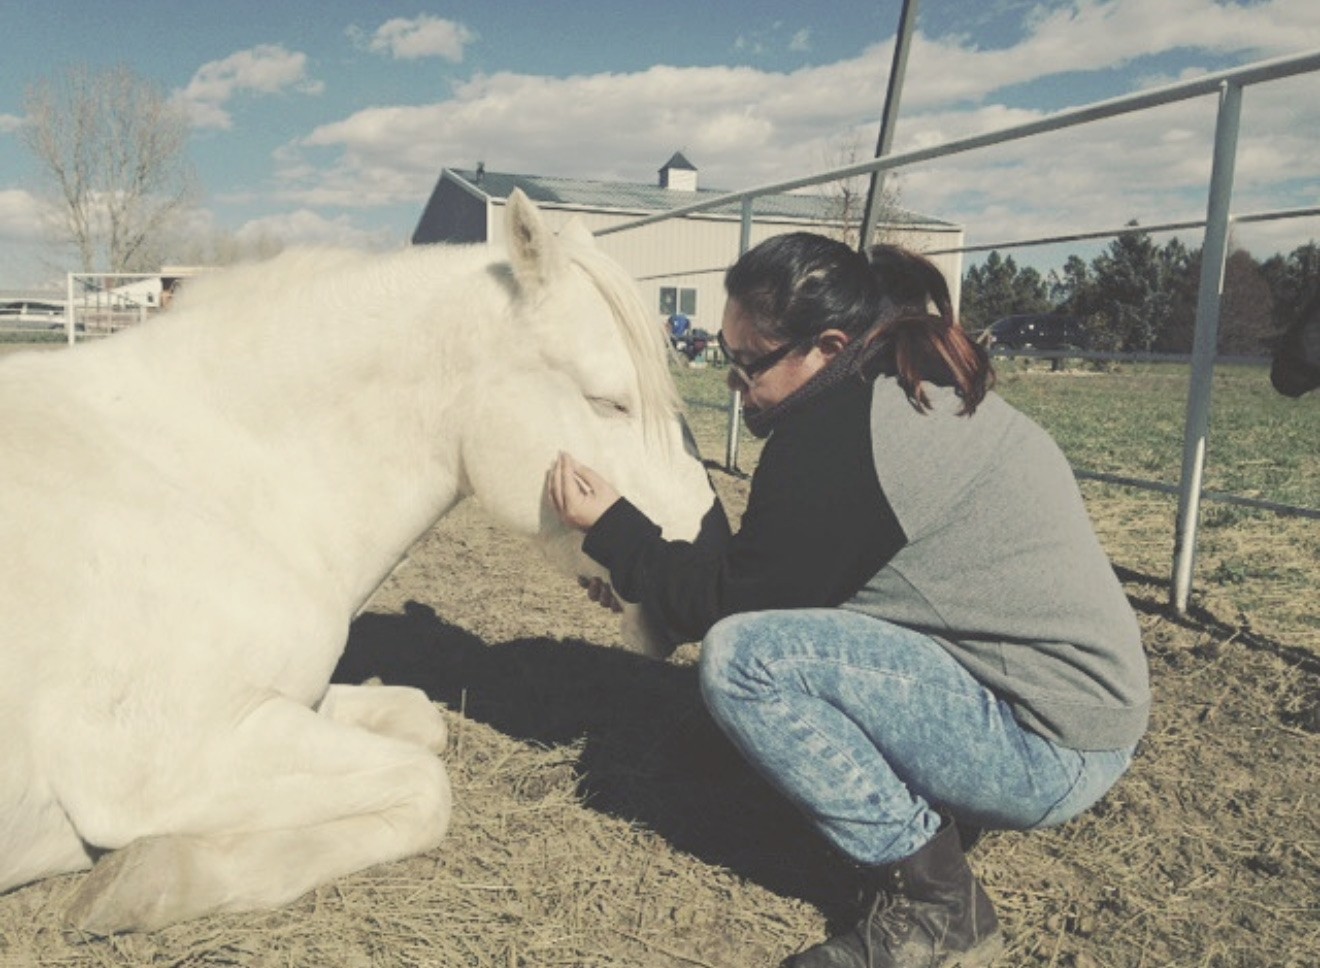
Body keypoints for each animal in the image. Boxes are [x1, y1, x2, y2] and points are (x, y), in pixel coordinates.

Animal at [0, 189, 718, 935]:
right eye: (609, 401)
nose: (707, 558)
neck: (210, 480)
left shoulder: (281, 708)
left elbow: (420, 721)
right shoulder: (161, 764)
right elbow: (425, 787)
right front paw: (148, 880)